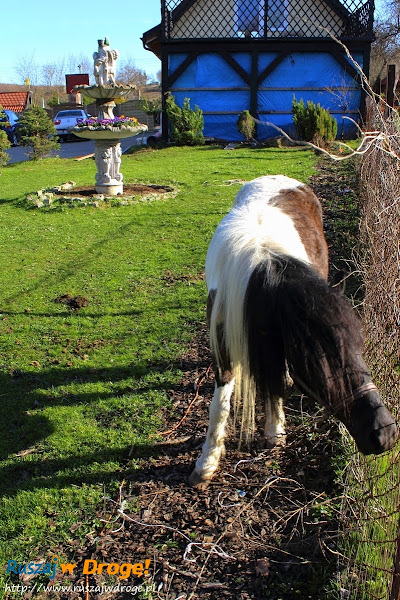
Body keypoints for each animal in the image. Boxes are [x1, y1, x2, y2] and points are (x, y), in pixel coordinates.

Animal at [189, 173, 398, 488]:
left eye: (358, 348)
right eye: (319, 365)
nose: (384, 433)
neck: (264, 271)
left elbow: (274, 383)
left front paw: (274, 430)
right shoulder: (224, 345)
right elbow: (219, 406)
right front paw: (207, 462)